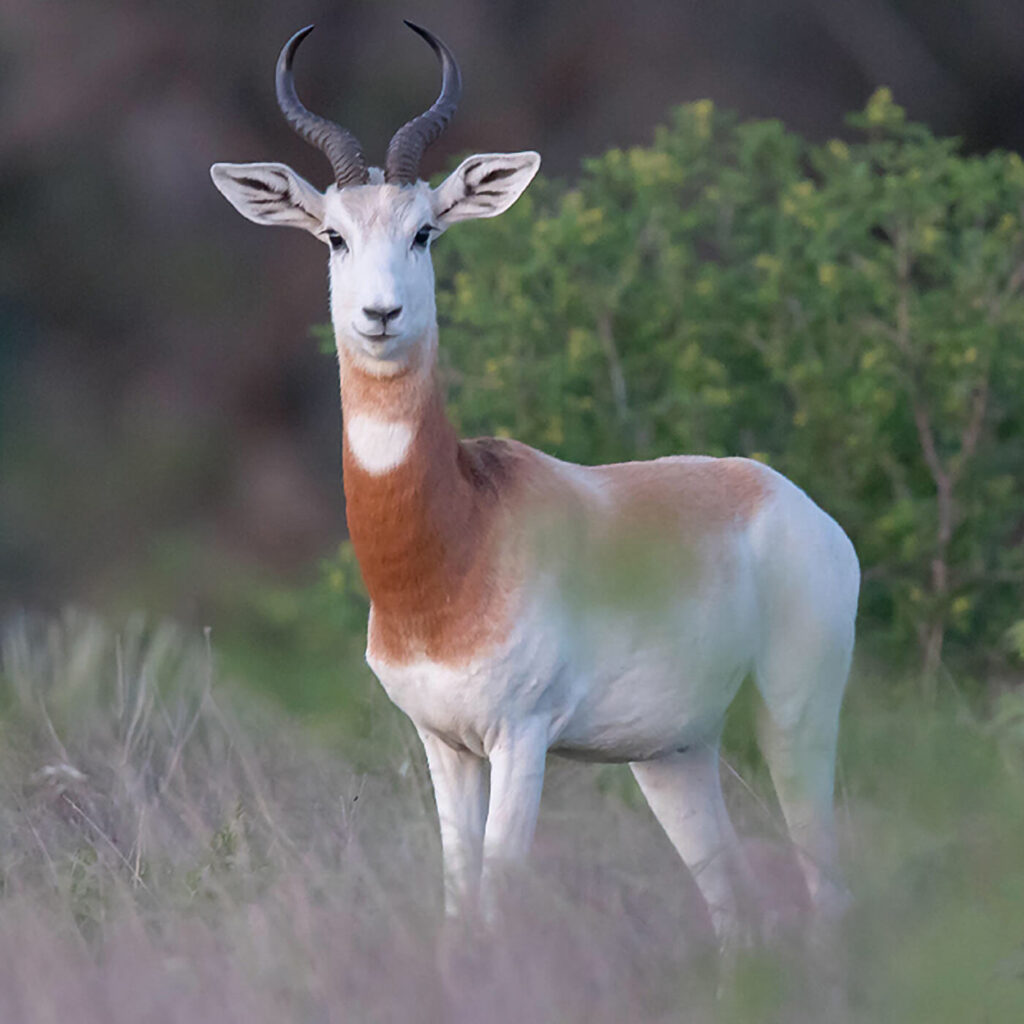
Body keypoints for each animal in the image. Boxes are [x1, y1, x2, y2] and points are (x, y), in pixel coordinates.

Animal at [211, 23, 860, 951]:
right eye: (333, 235)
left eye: (426, 231)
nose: (380, 315)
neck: (458, 544)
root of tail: (794, 503)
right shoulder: (445, 745)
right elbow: (457, 902)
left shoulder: (520, 738)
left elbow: (500, 896)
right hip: (674, 754)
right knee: (734, 904)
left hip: (796, 713)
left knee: (827, 889)